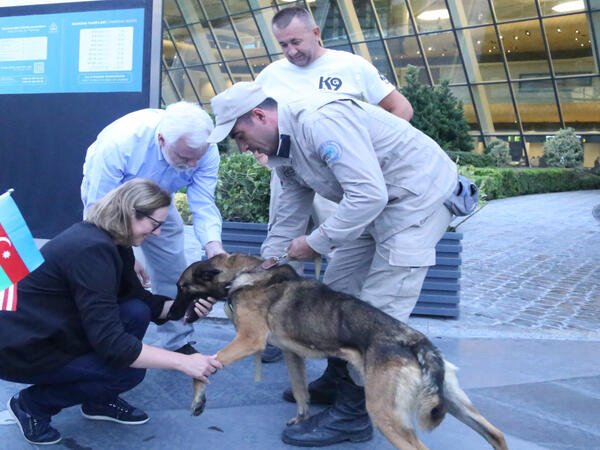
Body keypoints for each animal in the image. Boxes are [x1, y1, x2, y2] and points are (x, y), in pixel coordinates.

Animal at [166, 253, 508, 450]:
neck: (246, 273)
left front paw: (198, 400)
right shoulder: (292, 355)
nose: (170, 314)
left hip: (385, 412)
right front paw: (303, 420)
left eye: (181, 287)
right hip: (454, 402)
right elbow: (300, 391)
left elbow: (204, 369)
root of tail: (416, 341)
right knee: (497, 434)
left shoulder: (249, 341)